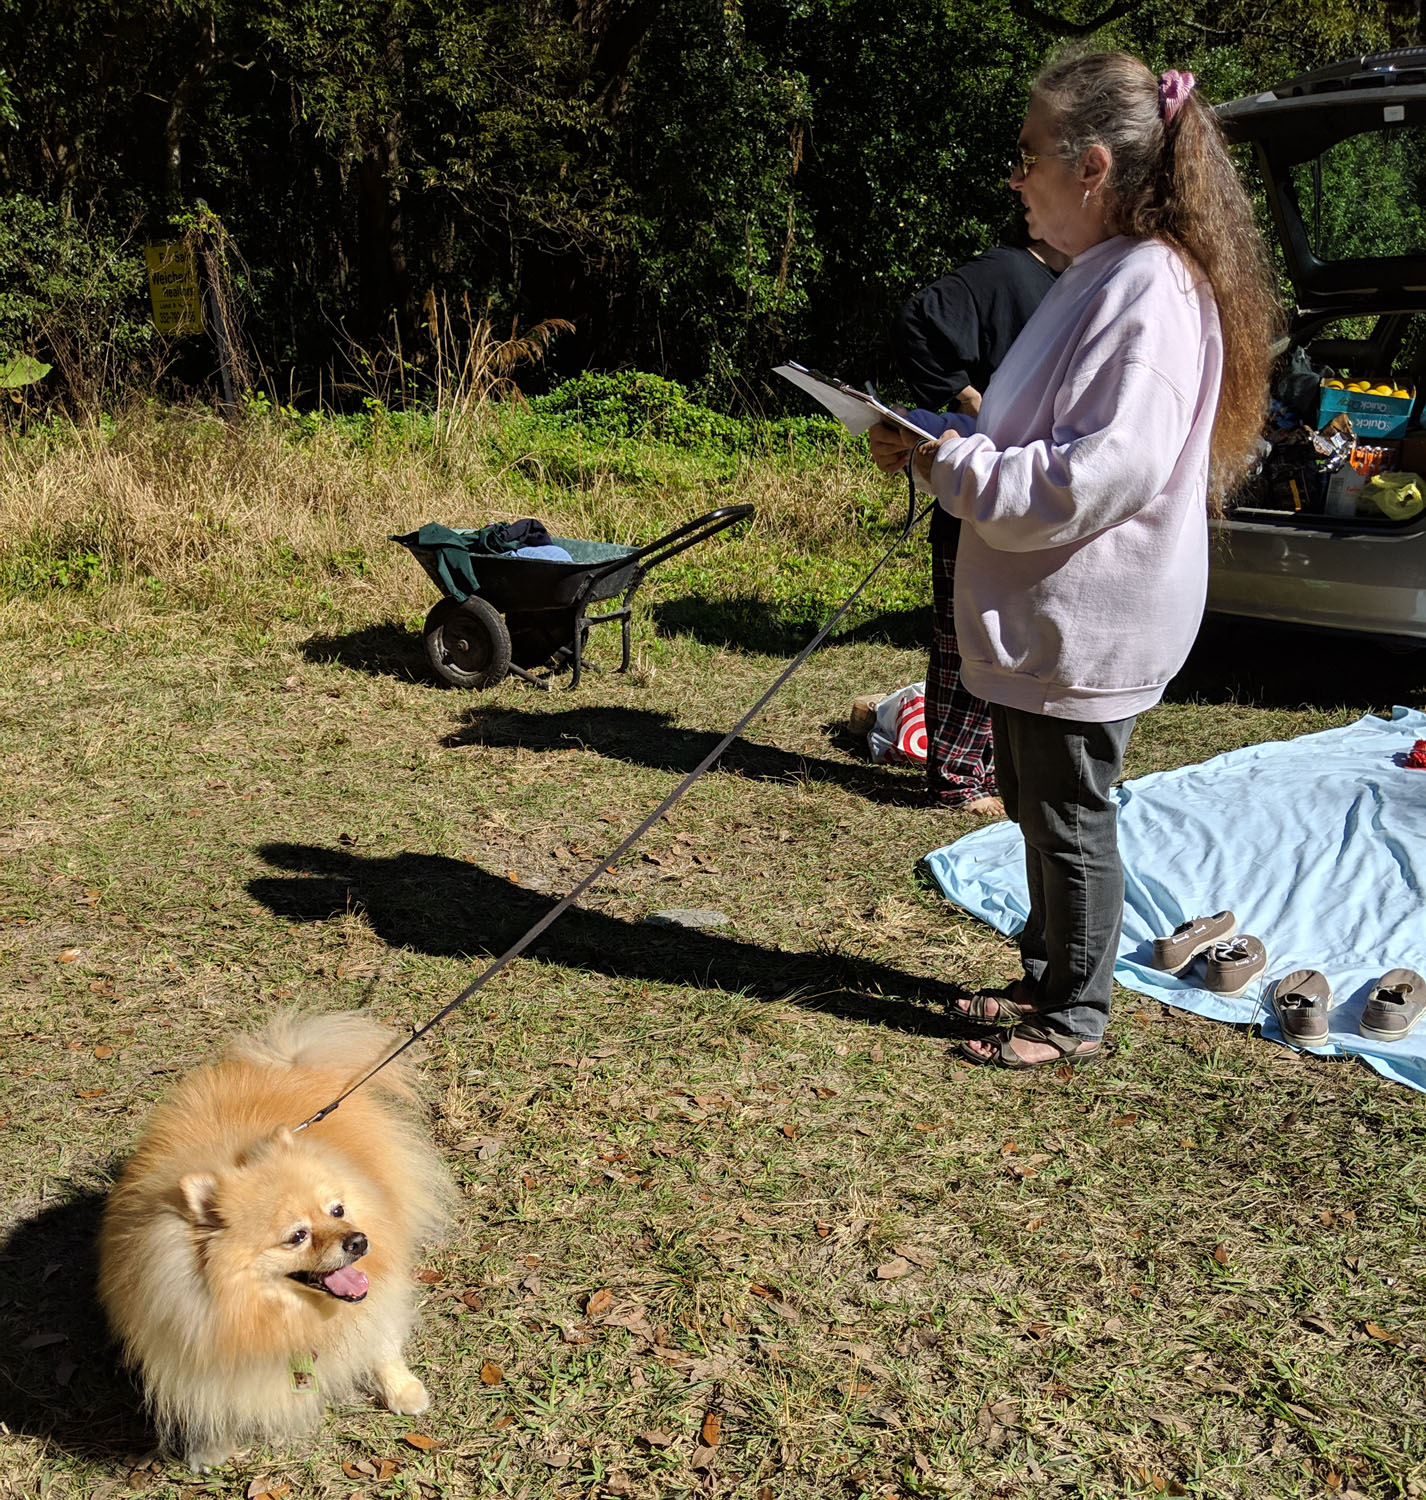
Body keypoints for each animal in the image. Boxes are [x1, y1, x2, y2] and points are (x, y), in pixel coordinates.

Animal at [97, 1014, 452, 1470]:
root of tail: (287, 1064)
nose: (358, 1241)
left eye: (337, 1210)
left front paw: (402, 1388)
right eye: (297, 1236)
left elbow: (380, 1337)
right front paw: (210, 1447)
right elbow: (208, 1396)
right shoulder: (188, 1335)